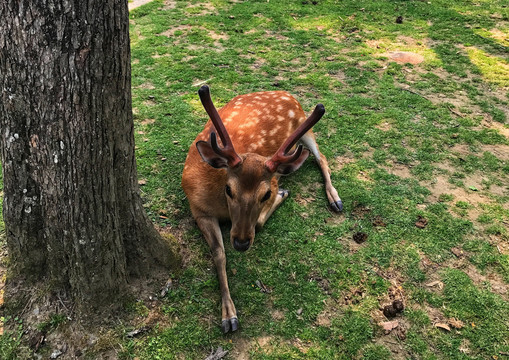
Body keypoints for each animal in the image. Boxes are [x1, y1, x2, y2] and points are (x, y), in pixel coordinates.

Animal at [181, 86, 344, 334]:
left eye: (265, 194)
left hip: (304, 126)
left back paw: (335, 199)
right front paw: (229, 316)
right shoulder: (198, 209)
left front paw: (283, 193)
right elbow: (219, 253)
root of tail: (287, 93)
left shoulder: (274, 181)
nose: (241, 242)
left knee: (321, 157)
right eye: (228, 189)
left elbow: (257, 221)